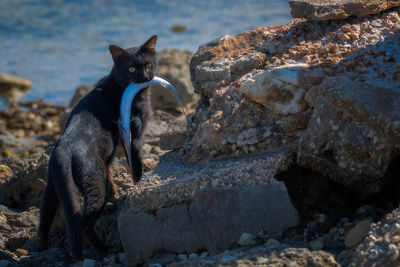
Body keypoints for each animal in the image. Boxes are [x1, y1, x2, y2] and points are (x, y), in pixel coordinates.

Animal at [36, 35, 157, 260]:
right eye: (132, 69)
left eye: (147, 64)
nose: (145, 77)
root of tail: (63, 147)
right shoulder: (135, 135)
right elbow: (136, 164)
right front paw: (137, 184)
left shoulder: (110, 153)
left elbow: (110, 171)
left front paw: (115, 193)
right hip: (92, 179)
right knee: (84, 220)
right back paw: (102, 250)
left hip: (54, 185)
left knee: (45, 215)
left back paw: (41, 247)